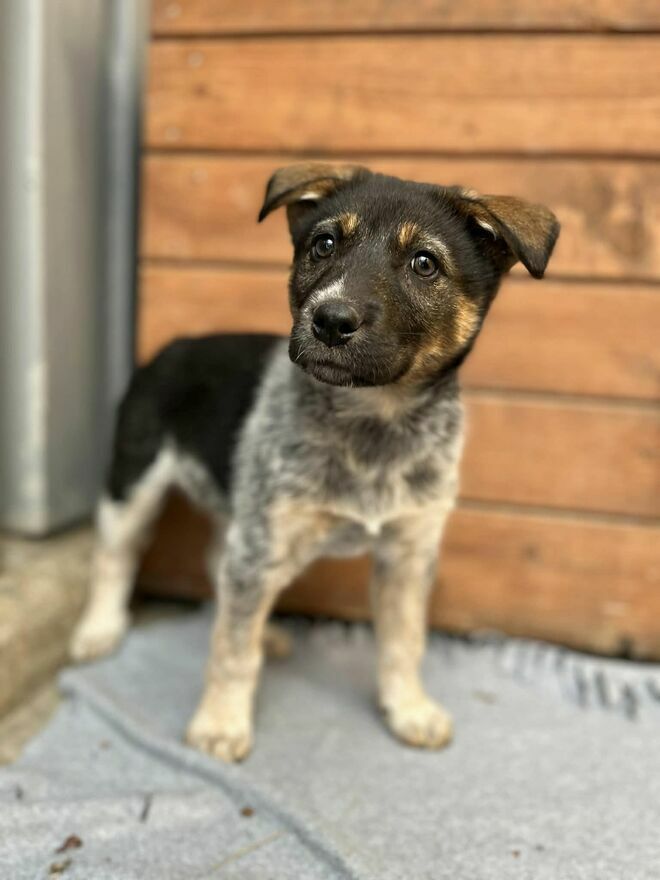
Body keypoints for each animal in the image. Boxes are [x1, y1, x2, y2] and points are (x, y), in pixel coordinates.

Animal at [70, 163, 559, 761]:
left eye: (425, 263)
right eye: (323, 245)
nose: (330, 319)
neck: (373, 421)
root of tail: (172, 346)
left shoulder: (408, 551)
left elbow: (404, 642)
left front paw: (409, 709)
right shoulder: (263, 537)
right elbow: (232, 649)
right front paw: (221, 724)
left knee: (216, 562)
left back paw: (269, 633)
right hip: (135, 482)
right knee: (115, 558)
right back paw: (99, 629)